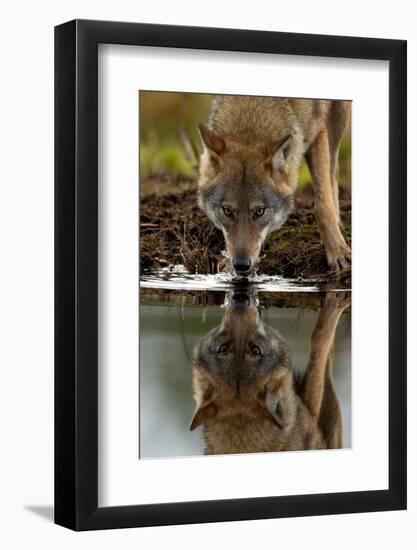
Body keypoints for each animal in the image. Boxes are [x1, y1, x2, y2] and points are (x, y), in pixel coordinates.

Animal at [189, 292, 348, 454]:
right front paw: (336, 302)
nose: (240, 299)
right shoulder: (311, 410)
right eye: (256, 350)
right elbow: (319, 341)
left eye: (223, 348)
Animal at [197, 96, 350, 276]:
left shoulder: (318, 131)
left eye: (259, 211)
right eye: (227, 211)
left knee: (333, 169)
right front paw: (228, 266)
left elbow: (322, 206)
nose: (241, 264)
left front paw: (338, 252)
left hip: (340, 114)